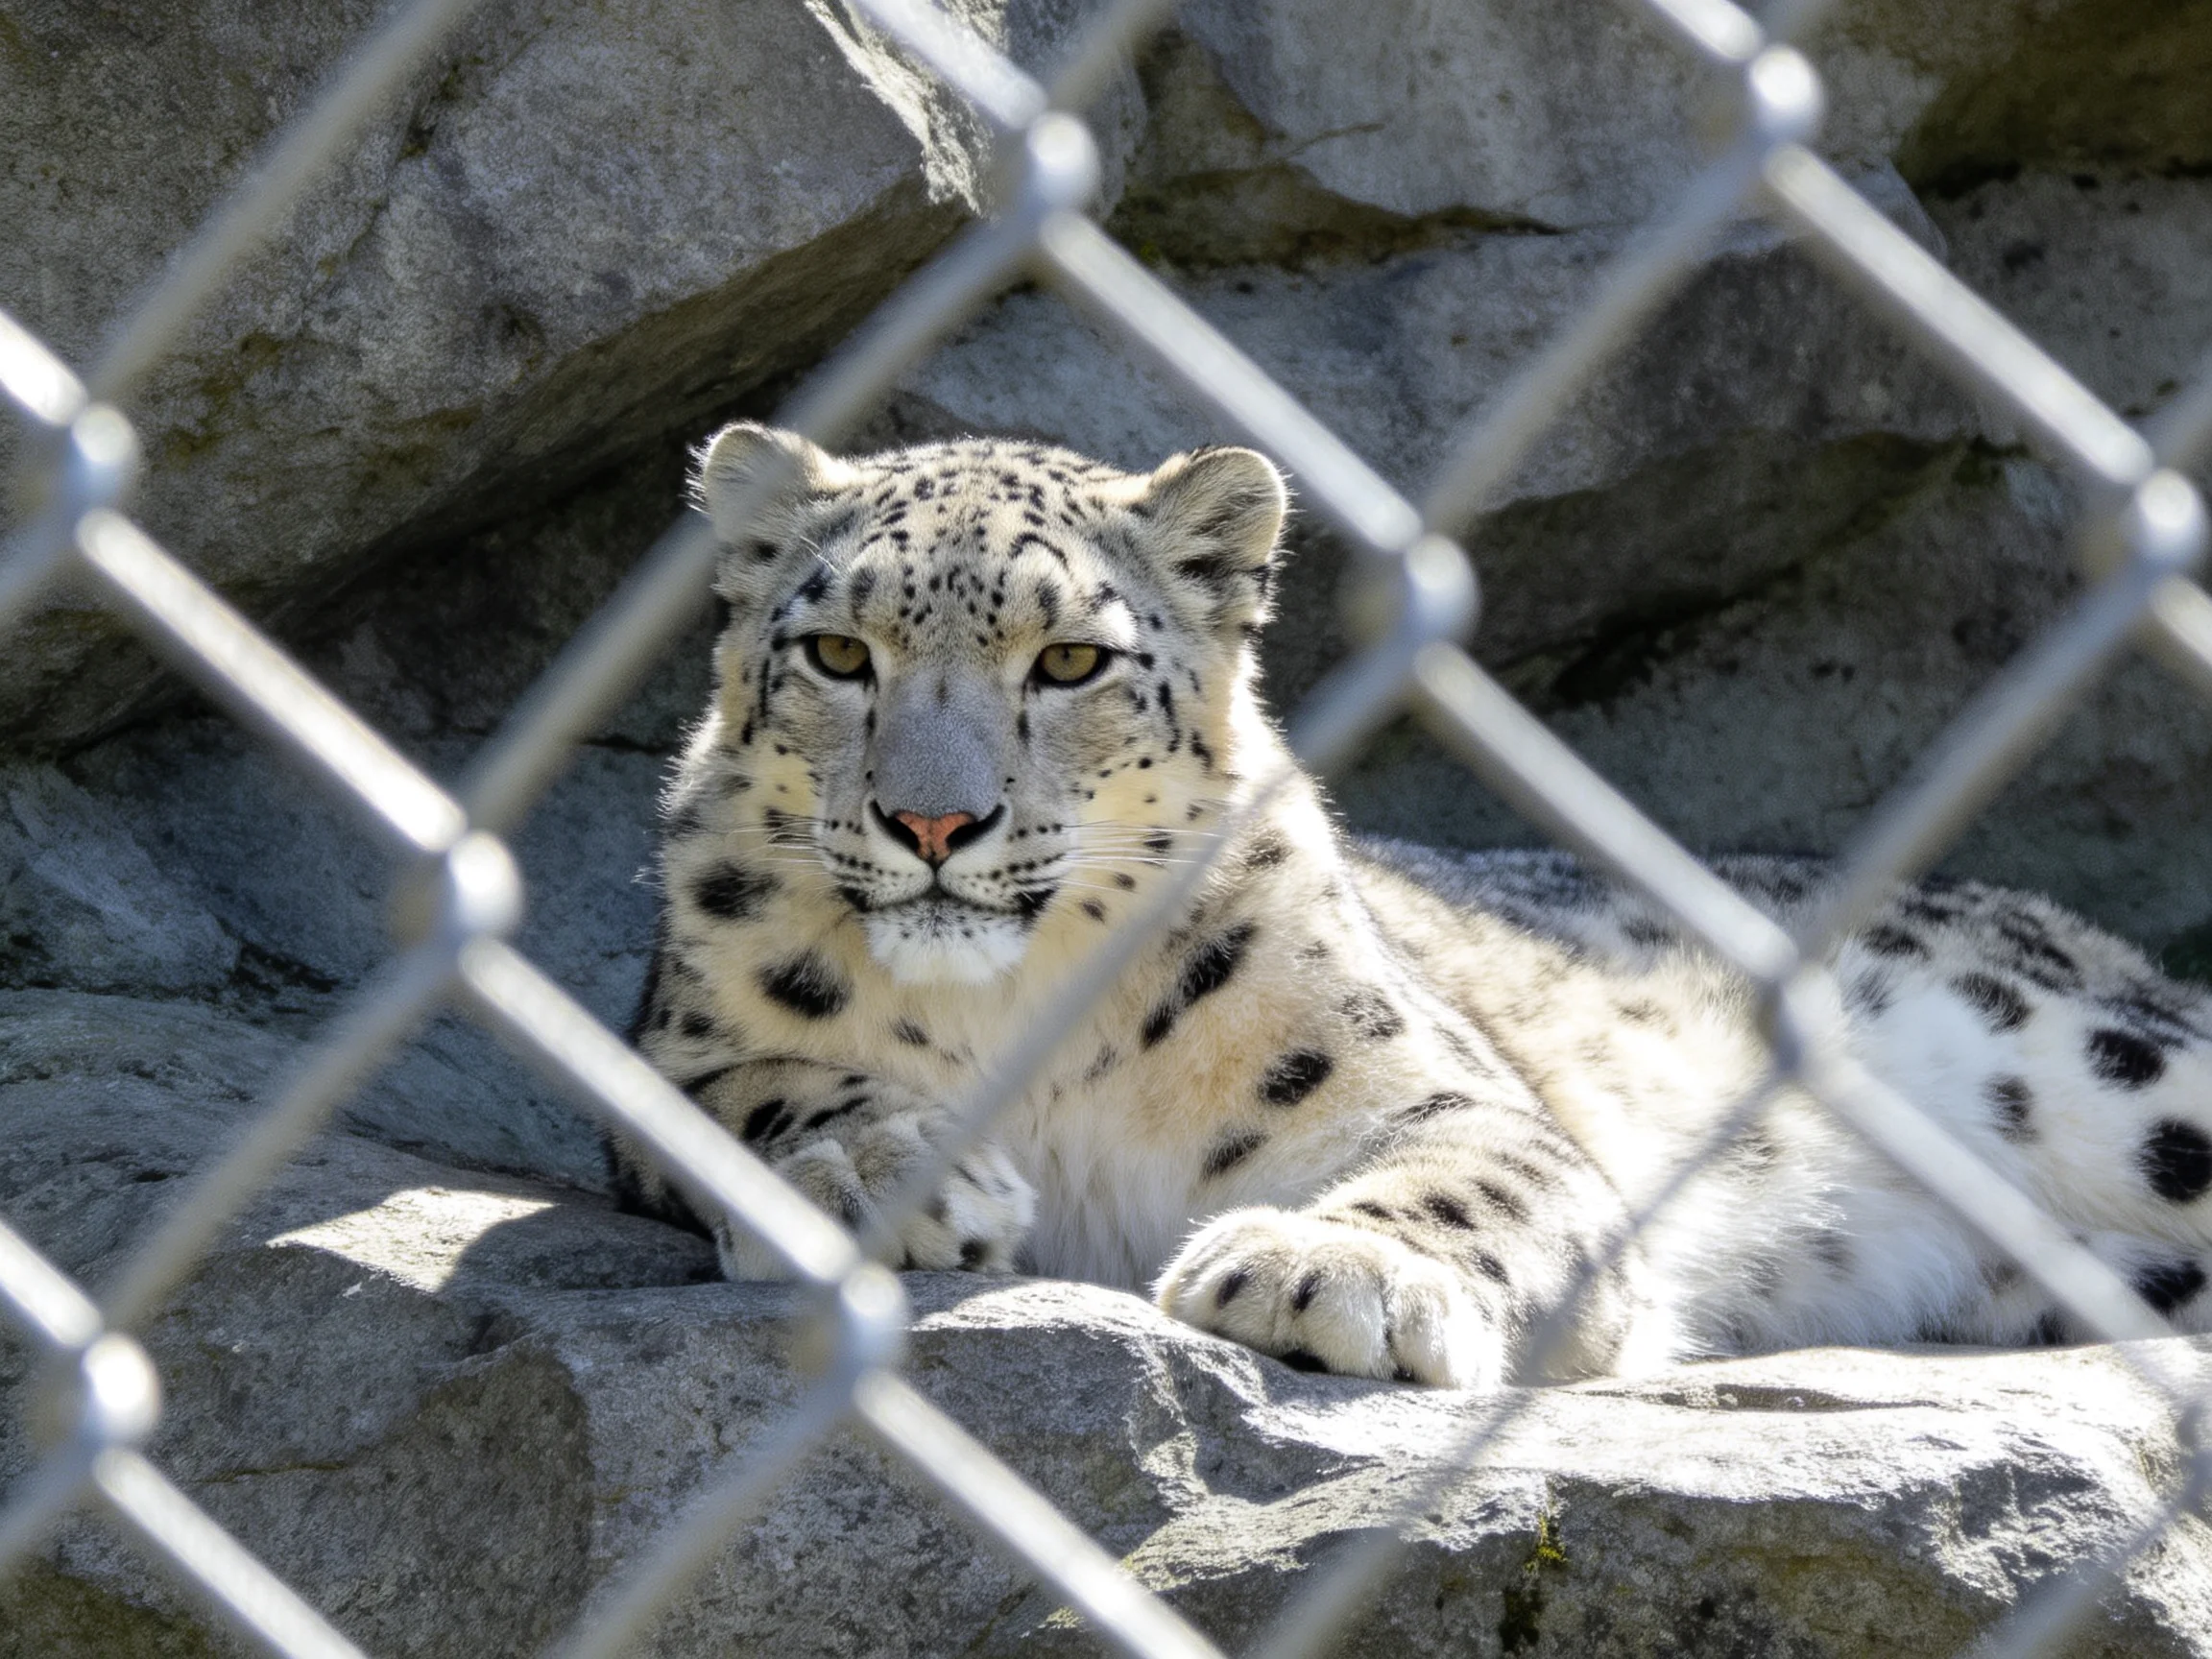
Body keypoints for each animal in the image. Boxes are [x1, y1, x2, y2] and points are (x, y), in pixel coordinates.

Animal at [607, 420, 2212, 1388]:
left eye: (1069, 661)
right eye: (837, 652)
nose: (934, 820)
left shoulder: (1443, 1090)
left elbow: (1472, 1167)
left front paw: (1327, 1271)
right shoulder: (670, 1051)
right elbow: (729, 1094)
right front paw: (880, 1167)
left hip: (2109, 1069)